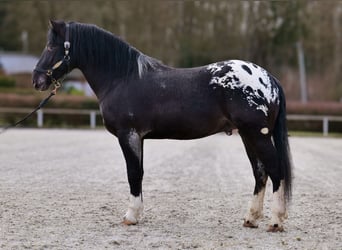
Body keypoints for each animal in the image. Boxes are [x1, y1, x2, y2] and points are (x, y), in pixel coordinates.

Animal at [33, 20, 292, 232]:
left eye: (50, 46)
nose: (37, 80)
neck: (122, 78)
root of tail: (268, 78)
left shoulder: (128, 135)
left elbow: (133, 173)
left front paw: (131, 216)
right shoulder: (139, 137)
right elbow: (139, 173)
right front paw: (137, 214)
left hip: (257, 135)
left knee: (275, 171)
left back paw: (275, 222)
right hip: (247, 135)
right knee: (260, 173)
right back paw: (251, 219)